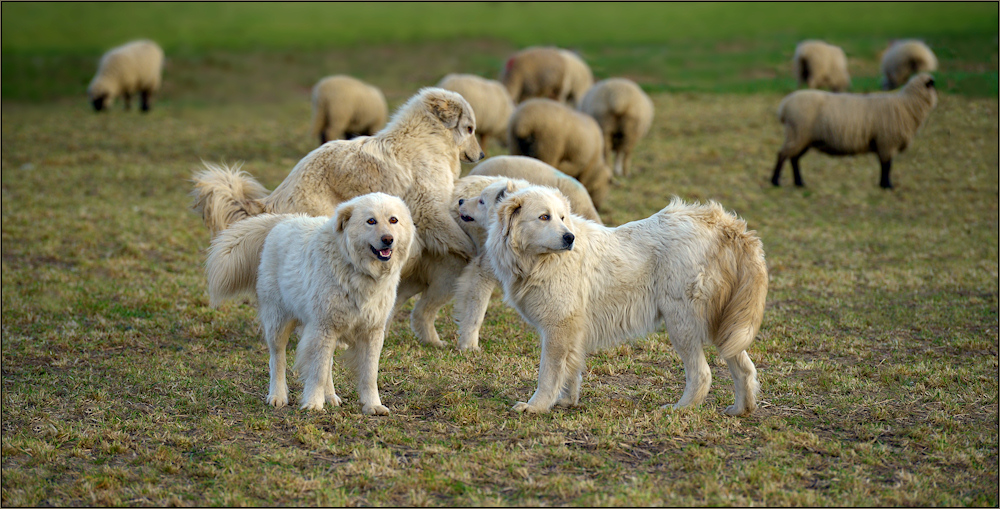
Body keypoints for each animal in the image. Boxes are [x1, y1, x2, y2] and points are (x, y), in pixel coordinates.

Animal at [204, 192, 414, 414]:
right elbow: (317, 372)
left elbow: (369, 374)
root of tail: (281, 220)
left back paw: (330, 396)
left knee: (326, 363)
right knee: (277, 360)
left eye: (393, 220)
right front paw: (313, 403)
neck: (355, 267)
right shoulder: (323, 327)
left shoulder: (370, 331)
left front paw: (373, 405)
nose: (388, 239)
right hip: (278, 322)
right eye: (371, 221)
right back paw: (277, 396)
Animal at [488, 188, 768, 416]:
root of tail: (722, 223)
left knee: (702, 374)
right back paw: (740, 410)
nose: (569, 238)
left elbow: (548, 373)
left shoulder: (558, 328)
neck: (538, 262)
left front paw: (536, 406)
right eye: (544, 217)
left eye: (562, 218)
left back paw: (679, 409)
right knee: (744, 369)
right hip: (727, 327)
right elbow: (571, 370)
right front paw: (567, 401)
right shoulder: (572, 331)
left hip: (681, 323)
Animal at [772, 72, 936, 190]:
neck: (908, 105)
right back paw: (775, 182)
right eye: (934, 86)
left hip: (803, 138)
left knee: (793, 158)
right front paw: (887, 186)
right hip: (798, 133)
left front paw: (883, 184)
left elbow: (884, 165)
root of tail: (784, 106)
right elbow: (887, 166)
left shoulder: (884, 143)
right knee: (783, 155)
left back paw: (799, 183)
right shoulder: (886, 142)